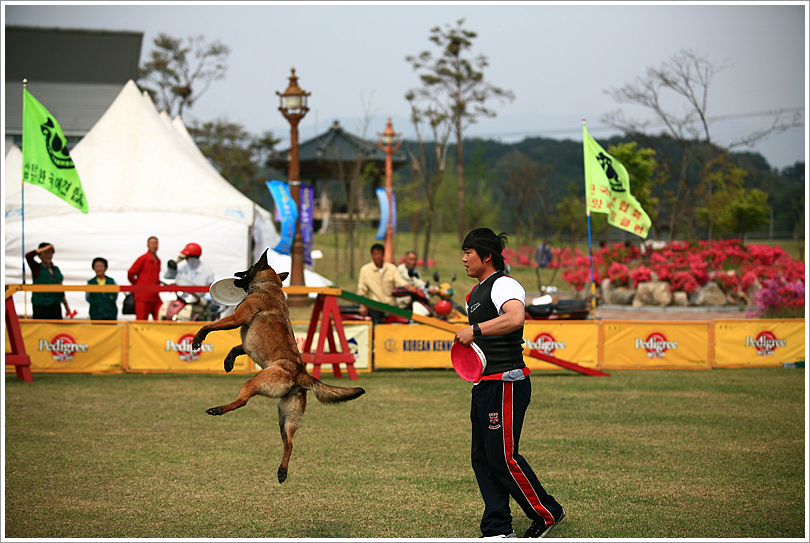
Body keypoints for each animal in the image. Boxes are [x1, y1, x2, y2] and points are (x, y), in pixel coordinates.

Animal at [191, 251, 364, 484]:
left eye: (250, 267)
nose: (236, 273)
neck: (269, 284)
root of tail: (299, 373)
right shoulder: (246, 343)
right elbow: (237, 348)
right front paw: (228, 361)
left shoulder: (236, 318)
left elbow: (209, 325)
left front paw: (198, 338)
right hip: (287, 418)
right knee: (289, 443)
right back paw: (282, 471)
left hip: (256, 383)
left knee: (242, 401)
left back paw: (218, 409)